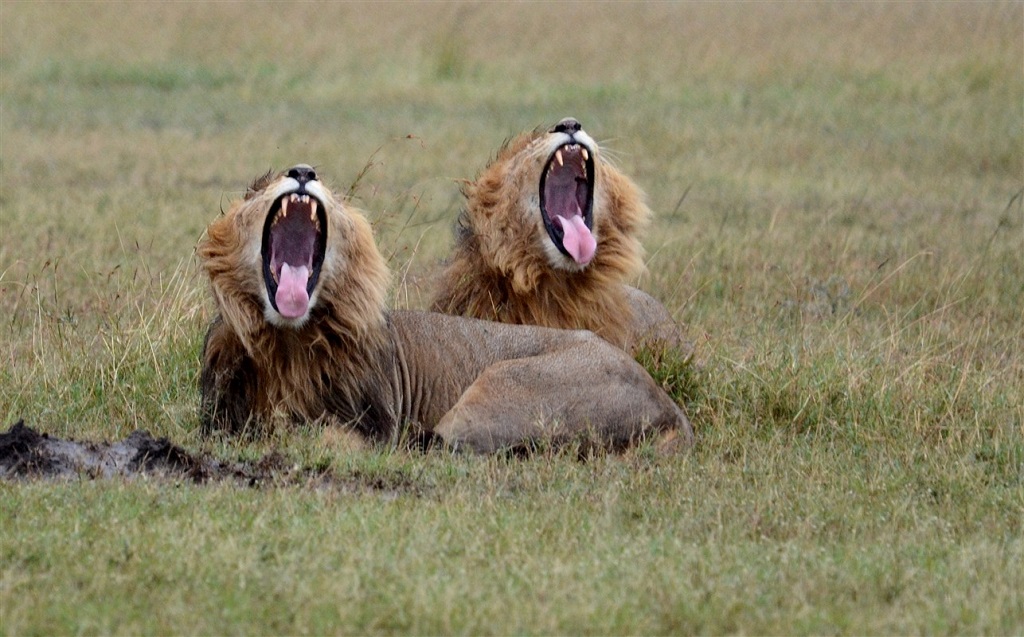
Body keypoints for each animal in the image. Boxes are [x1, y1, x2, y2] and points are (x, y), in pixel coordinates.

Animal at [197, 164, 696, 454]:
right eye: (258, 188)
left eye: (331, 191)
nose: (303, 170)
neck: (288, 338)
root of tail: (669, 404)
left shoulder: (374, 425)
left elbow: (318, 434)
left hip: (498, 388)